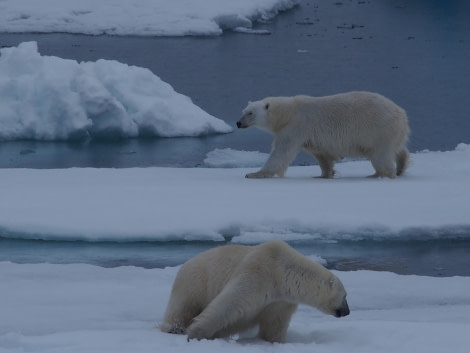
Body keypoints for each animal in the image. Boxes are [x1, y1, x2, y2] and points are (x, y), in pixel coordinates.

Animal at [161, 239, 348, 340]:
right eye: (345, 296)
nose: (347, 312)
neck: (282, 271)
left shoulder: (281, 300)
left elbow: (274, 323)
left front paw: (273, 341)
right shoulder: (258, 272)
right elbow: (229, 303)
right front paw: (196, 332)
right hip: (195, 281)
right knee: (183, 305)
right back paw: (175, 328)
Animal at [237, 91, 410, 179]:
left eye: (250, 113)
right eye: (243, 111)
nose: (238, 123)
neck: (287, 112)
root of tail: (401, 113)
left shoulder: (296, 126)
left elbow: (281, 153)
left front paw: (254, 173)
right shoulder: (310, 135)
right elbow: (321, 155)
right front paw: (324, 174)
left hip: (379, 129)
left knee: (380, 155)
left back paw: (380, 174)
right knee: (398, 148)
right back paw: (401, 166)